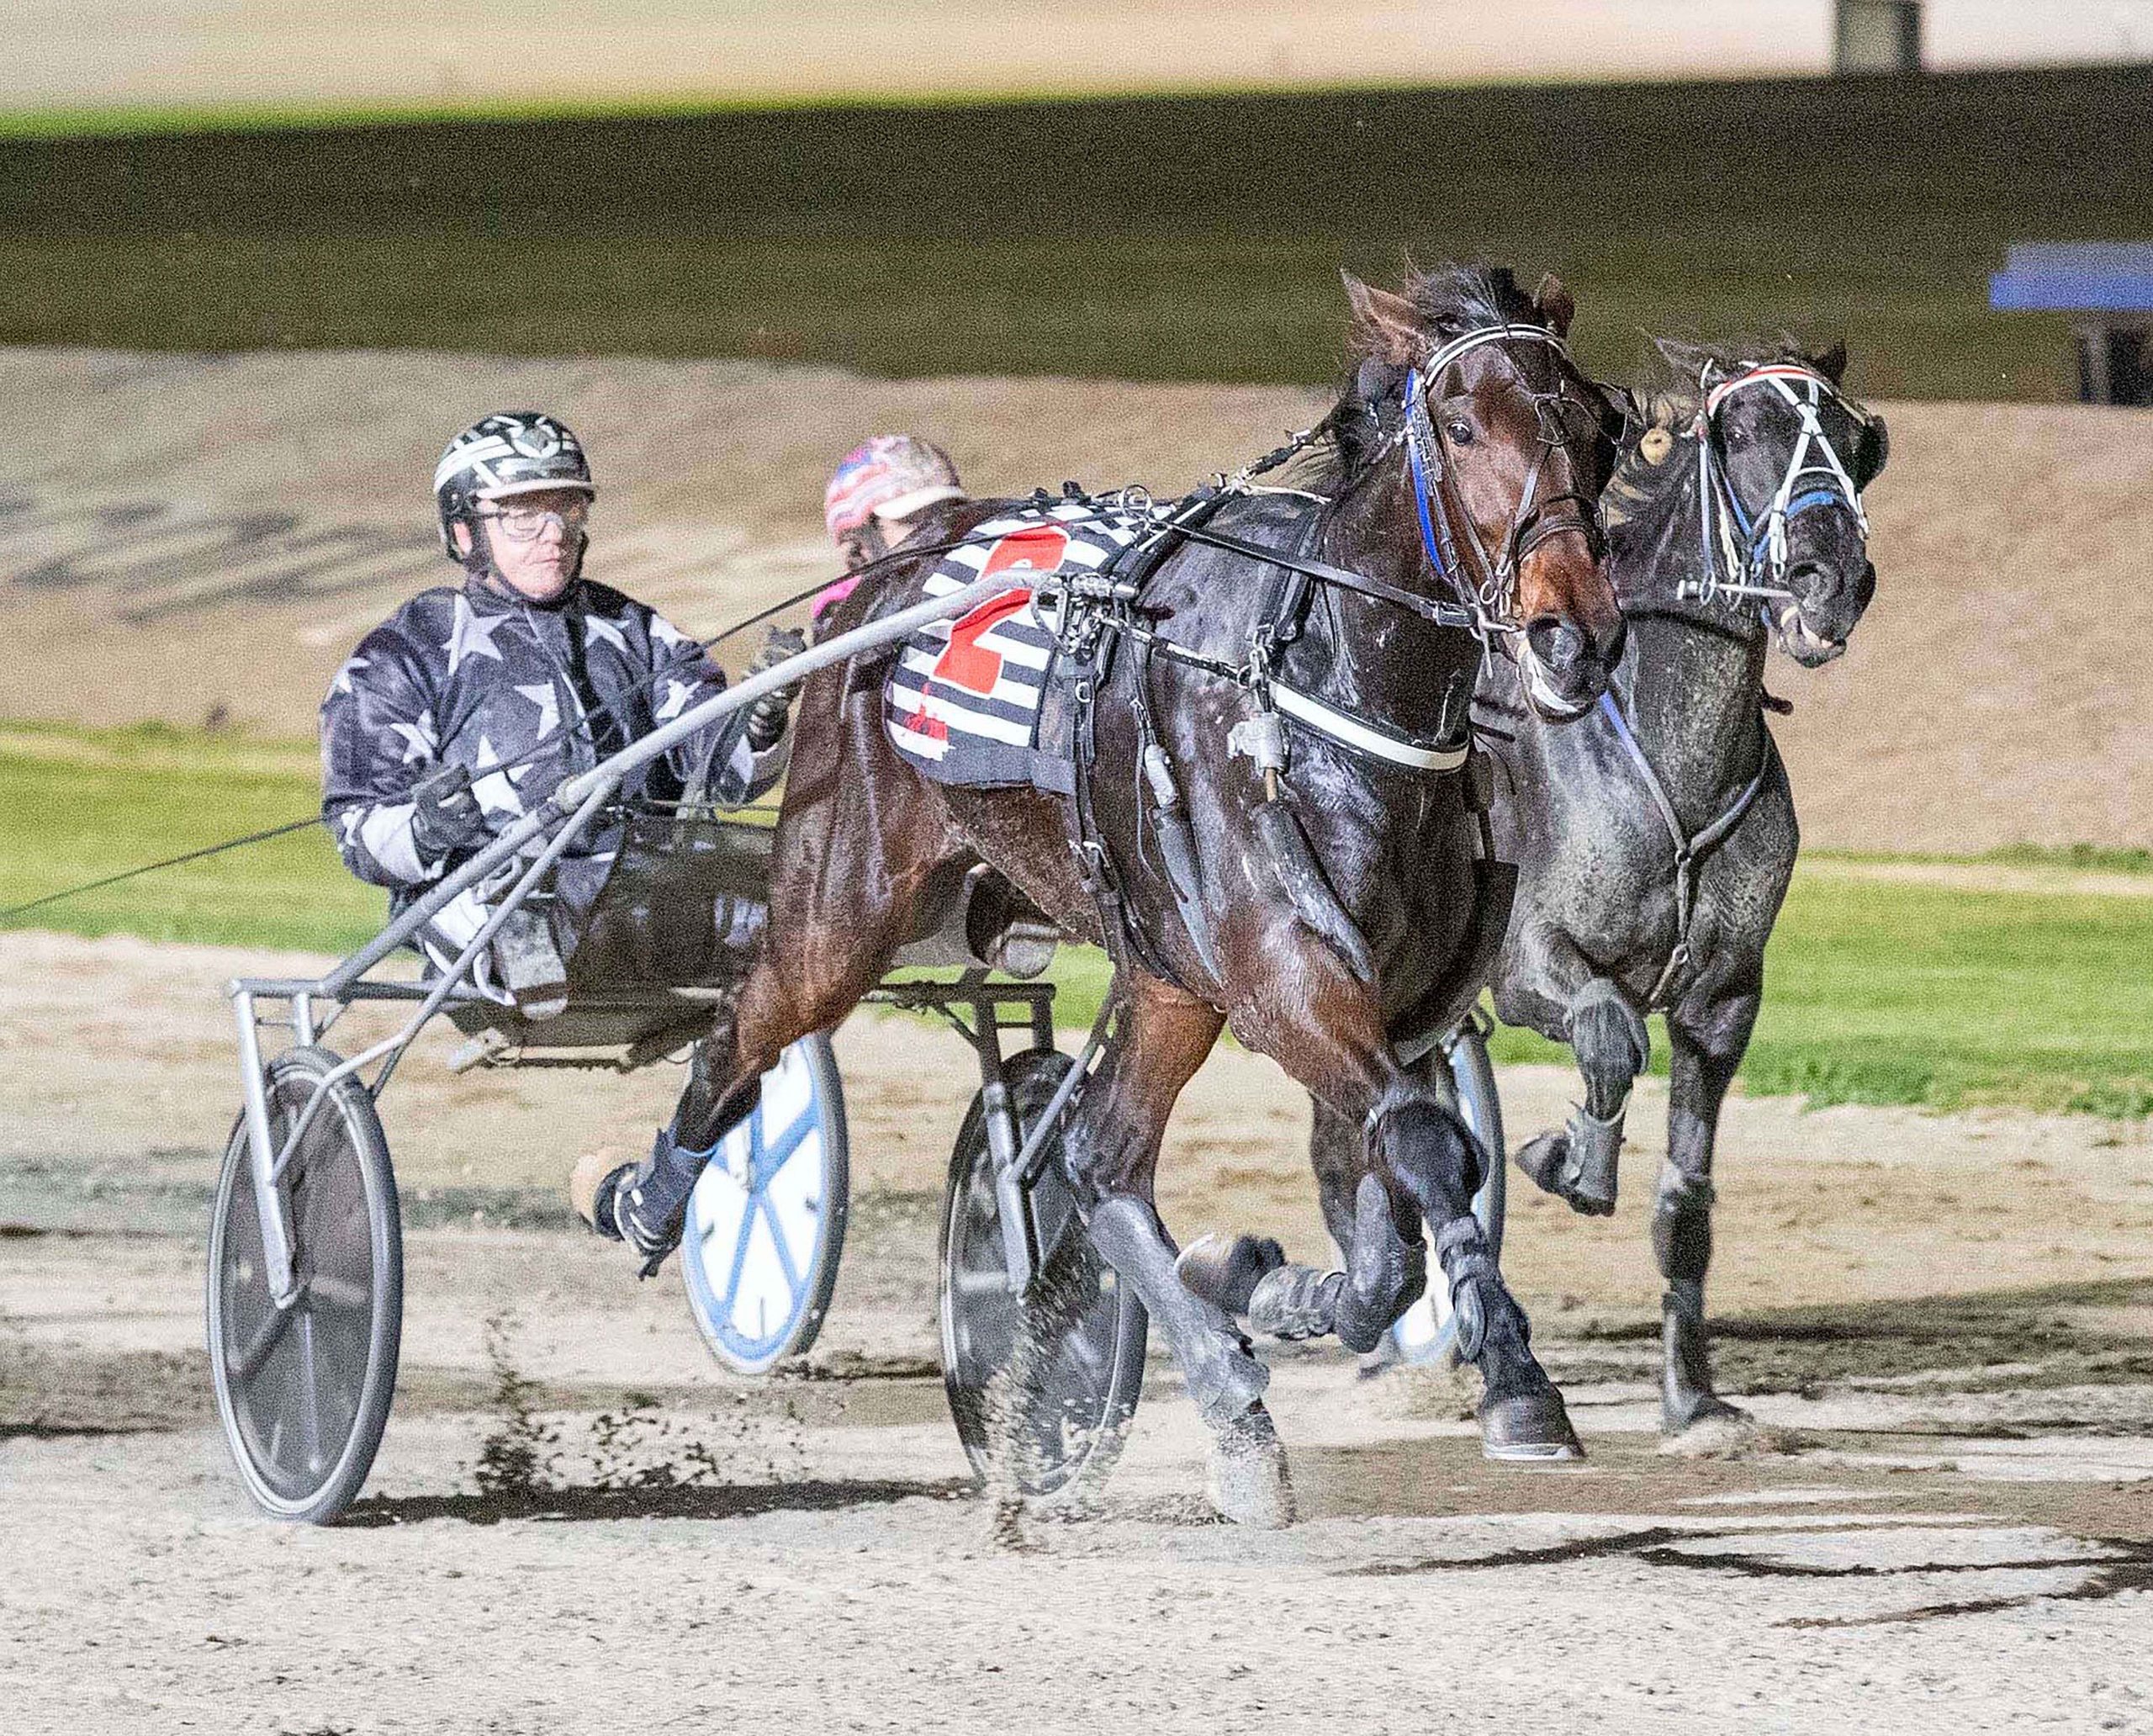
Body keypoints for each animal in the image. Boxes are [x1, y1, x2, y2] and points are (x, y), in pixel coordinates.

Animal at [667, 262, 1619, 1525]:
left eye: (1602, 429)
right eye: (1462, 426)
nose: (1573, 637)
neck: (1323, 683)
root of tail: (882, 591)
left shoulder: (1393, 1012)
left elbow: (1389, 1227)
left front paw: (1262, 1281)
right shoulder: (1286, 980)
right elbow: (1422, 1150)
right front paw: (1516, 1383)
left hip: (1163, 977)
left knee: (1098, 1159)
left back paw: (1232, 1406)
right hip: (843, 900)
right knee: (748, 1023)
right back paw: (647, 1193)